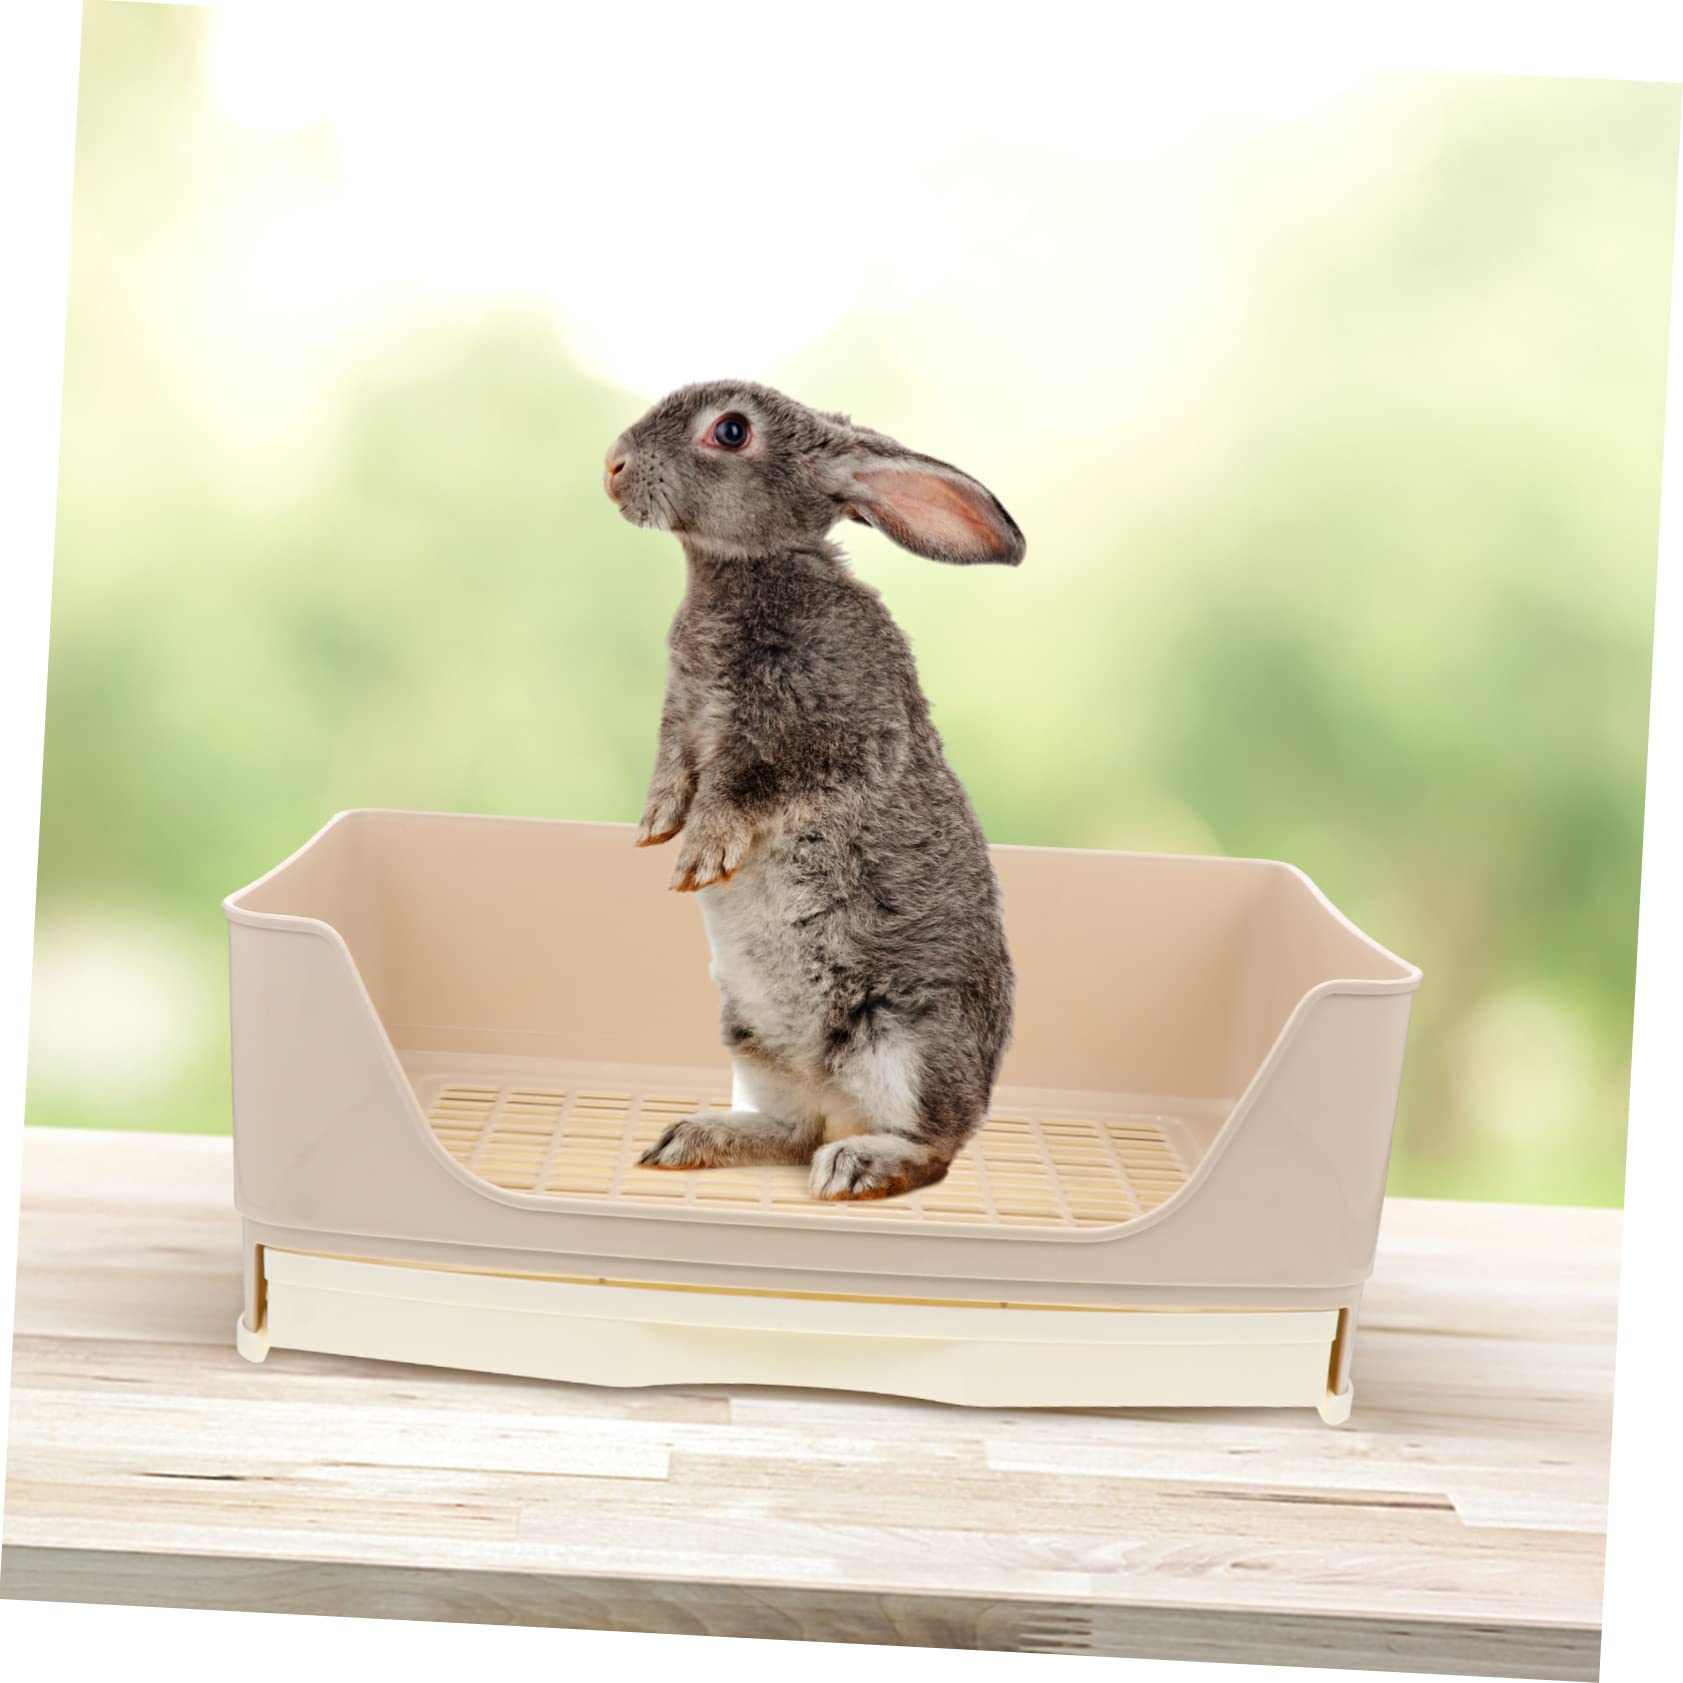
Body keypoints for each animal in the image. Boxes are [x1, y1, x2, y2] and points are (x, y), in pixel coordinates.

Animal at [602, 380, 1023, 1201]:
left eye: (731, 431)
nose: (612, 465)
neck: (747, 568)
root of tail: (838, 1103)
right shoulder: (683, 718)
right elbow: (674, 766)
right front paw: (656, 824)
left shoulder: (829, 736)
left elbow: (747, 786)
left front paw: (700, 852)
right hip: (752, 1037)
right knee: (793, 1130)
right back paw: (696, 1137)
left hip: (904, 1042)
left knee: (932, 1147)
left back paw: (857, 1165)